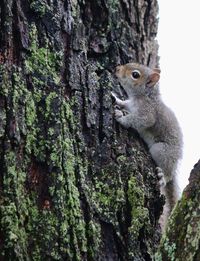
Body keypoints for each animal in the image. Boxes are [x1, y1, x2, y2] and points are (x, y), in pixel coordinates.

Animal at [111, 62, 184, 226]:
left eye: (135, 75)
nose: (117, 69)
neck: (144, 95)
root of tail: (176, 161)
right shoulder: (131, 104)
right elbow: (125, 103)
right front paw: (116, 99)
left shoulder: (148, 113)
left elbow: (140, 120)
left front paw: (122, 118)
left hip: (160, 150)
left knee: (168, 174)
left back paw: (163, 176)